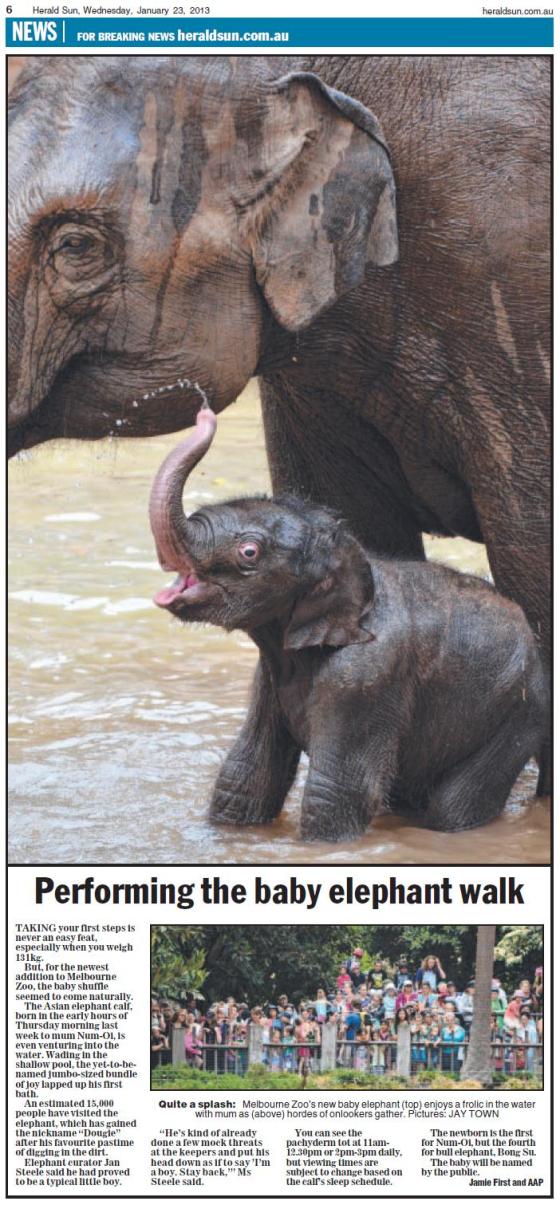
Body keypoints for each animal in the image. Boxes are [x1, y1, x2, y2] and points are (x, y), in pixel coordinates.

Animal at [149, 404, 549, 841]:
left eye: (249, 552)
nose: (205, 414)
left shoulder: (368, 677)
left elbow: (336, 792)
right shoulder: (268, 678)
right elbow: (244, 779)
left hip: (518, 717)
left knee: (452, 809)